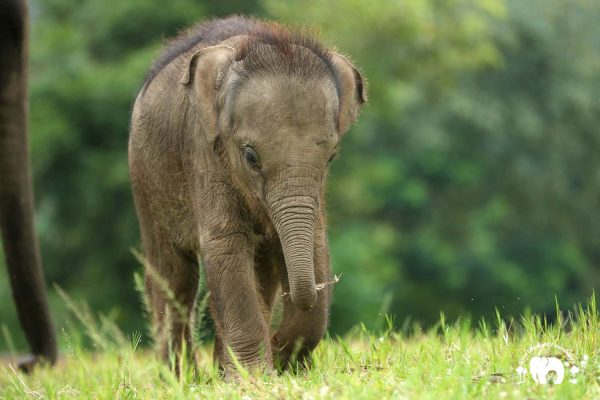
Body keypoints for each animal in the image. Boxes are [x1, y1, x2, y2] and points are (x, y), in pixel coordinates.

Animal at [127, 16, 366, 376]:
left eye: (331, 157)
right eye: (250, 156)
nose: (277, 340)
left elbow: (313, 243)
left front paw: (279, 365)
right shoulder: (203, 150)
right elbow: (226, 244)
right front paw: (254, 377)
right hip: (145, 180)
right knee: (174, 275)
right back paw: (181, 377)